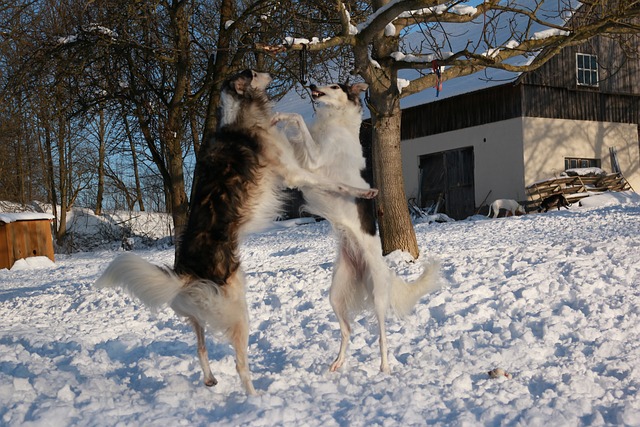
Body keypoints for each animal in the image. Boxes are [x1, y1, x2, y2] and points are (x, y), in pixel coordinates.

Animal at [94, 69, 376, 394]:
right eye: (252, 72)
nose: (270, 72)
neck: (240, 117)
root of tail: (184, 275)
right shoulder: (294, 173)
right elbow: (336, 183)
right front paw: (365, 192)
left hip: (200, 313)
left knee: (200, 347)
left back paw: (210, 378)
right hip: (238, 313)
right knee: (240, 366)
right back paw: (254, 397)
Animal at [272, 81, 442, 374]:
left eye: (334, 85)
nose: (312, 84)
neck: (336, 121)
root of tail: (384, 270)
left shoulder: (314, 159)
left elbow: (297, 120)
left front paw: (281, 117)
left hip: (377, 298)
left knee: (382, 336)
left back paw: (384, 367)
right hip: (336, 295)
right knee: (347, 330)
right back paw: (338, 362)